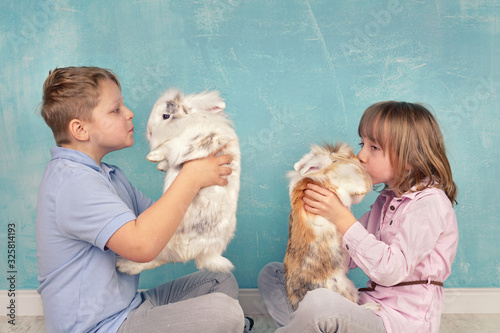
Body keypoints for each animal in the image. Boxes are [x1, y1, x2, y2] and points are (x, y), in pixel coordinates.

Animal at [117, 87, 242, 274]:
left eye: (166, 116)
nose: (150, 132)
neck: (188, 122)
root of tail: (207, 253)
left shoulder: (179, 144)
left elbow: (167, 149)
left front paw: (152, 157)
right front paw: (161, 166)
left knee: (152, 260)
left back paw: (124, 265)